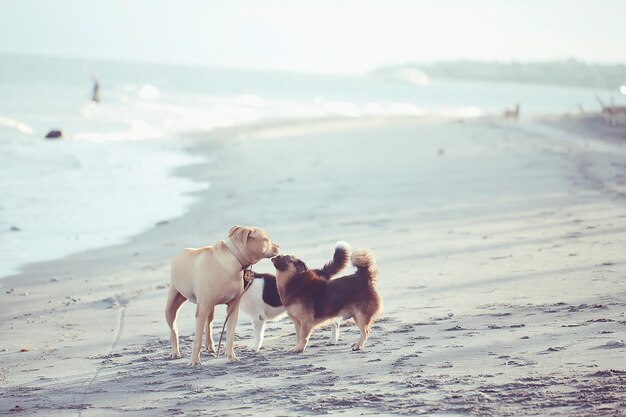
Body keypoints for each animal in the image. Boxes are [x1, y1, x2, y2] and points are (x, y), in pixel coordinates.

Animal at [165, 224, 276, 364]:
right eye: (266, 239)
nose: (278, 246)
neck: (234, 260)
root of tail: (180, 253)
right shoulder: (202, 308)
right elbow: (197, 340)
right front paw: (194, 361)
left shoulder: (233, 307)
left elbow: (230, 336)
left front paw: (231, 356)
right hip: (173, 303)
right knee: (173, 329)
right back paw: (174, 352)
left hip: (209, 307)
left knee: (208, 324)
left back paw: (210, 346)